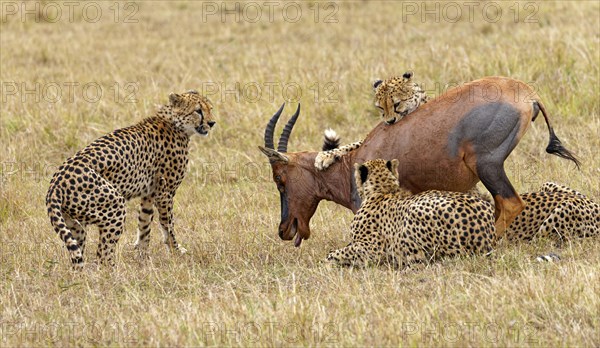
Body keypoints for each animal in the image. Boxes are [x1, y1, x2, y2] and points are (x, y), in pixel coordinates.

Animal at [46, 91, 216, 268]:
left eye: (210, 108)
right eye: (198, 111)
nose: (212, 123)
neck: (174, 123)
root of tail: (55, 185)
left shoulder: (149, 194)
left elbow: (144, 223)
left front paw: (143, 256)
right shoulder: (165, 194)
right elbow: (168, 225)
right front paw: (176, 252)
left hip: (74, 223)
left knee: (78, 254)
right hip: (115, 205)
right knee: (102, 254)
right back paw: (116, 272)